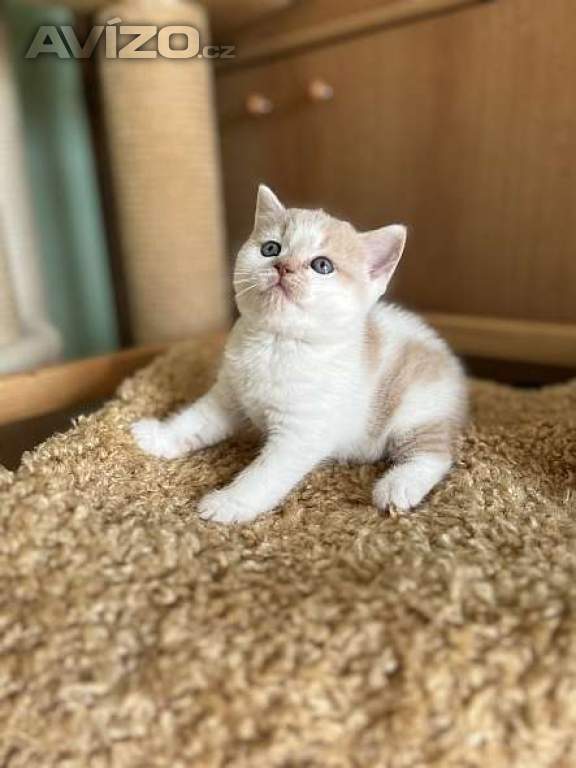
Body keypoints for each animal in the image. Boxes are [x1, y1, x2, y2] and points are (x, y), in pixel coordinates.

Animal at [131, 185, 467, 524]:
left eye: (322, 265)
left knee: (436, 454)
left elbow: (264, 474)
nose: (283, 266)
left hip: (417, 409)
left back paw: (398, 486)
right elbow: (195, 420)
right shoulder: (228, 397)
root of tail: (446, 355)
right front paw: (158, 436)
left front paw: (228, 503)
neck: (275, 345)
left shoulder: (300, 433)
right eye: (270, 248)